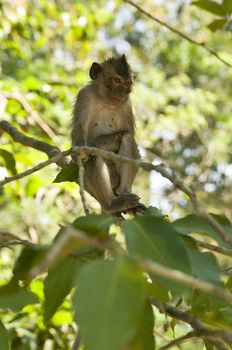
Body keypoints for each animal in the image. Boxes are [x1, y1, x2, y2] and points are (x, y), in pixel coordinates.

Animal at [70, 54, 145, 215]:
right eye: (117, 80)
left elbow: (128, 132)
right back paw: (111, 204)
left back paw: (125, 194)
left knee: (127, 139)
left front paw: (102, 142)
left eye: (127, 83)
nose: (122, 92)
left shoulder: (126, 104)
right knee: (94, 158)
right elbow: (79, 128)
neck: (107, 101)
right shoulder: (85, 95)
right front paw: (82, 151)